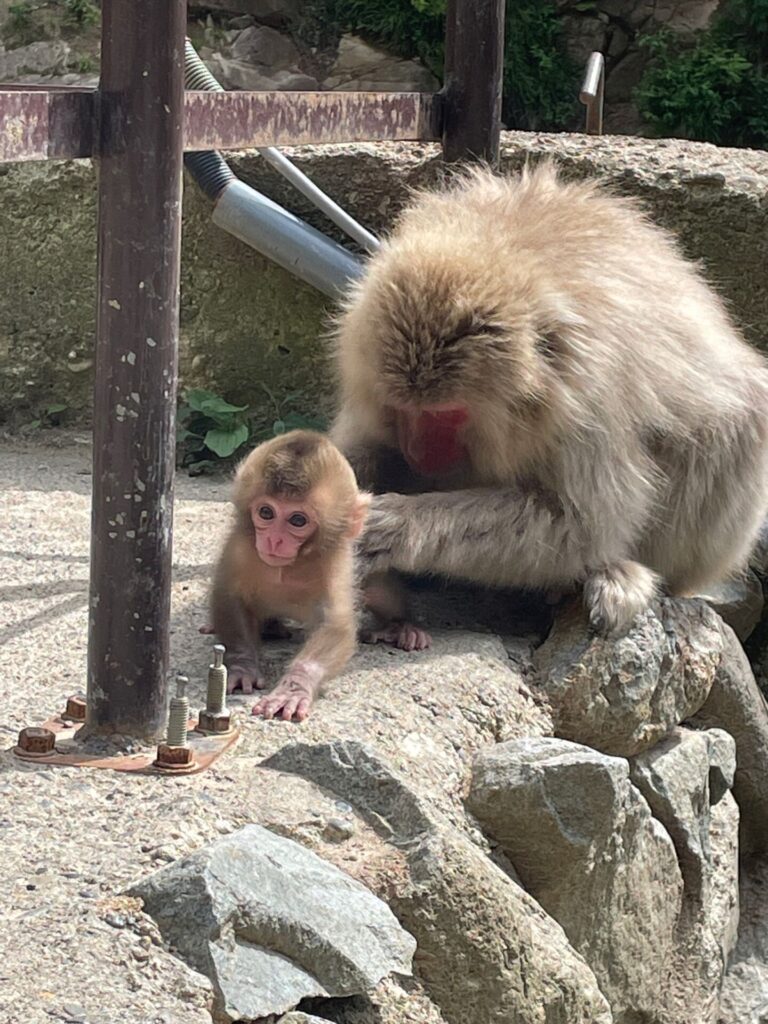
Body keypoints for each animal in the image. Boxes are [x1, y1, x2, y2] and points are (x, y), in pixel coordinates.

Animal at [208, 430, 429, 722]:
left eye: (297, 520)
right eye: (266, 512)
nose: (274, 540)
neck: (290, 565)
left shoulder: (334, 561)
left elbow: (334, 623)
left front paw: (295, 687)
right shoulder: (241, 546)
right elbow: (230, 596)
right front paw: (242, 665)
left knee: (378, 591)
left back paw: (402, 626)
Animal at [329, 163, 768, 637]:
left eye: (447, 415)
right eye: (403, 409)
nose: (418, 450)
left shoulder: (587, 399)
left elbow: (582, 524)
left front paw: (394, 526)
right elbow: (361, 447)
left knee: (734, 428)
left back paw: (621, 573)